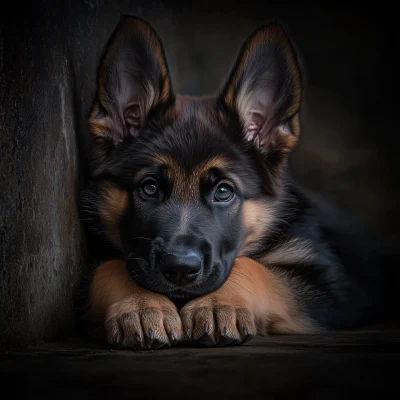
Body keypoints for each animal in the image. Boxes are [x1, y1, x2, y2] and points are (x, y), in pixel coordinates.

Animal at [82, 14, 388, 348]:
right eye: (149, 188)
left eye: (224, 192)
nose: (180, 269)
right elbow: (111, 265)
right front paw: (141, 304)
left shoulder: (329, 285)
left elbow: (254, 267)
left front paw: (217, 304)